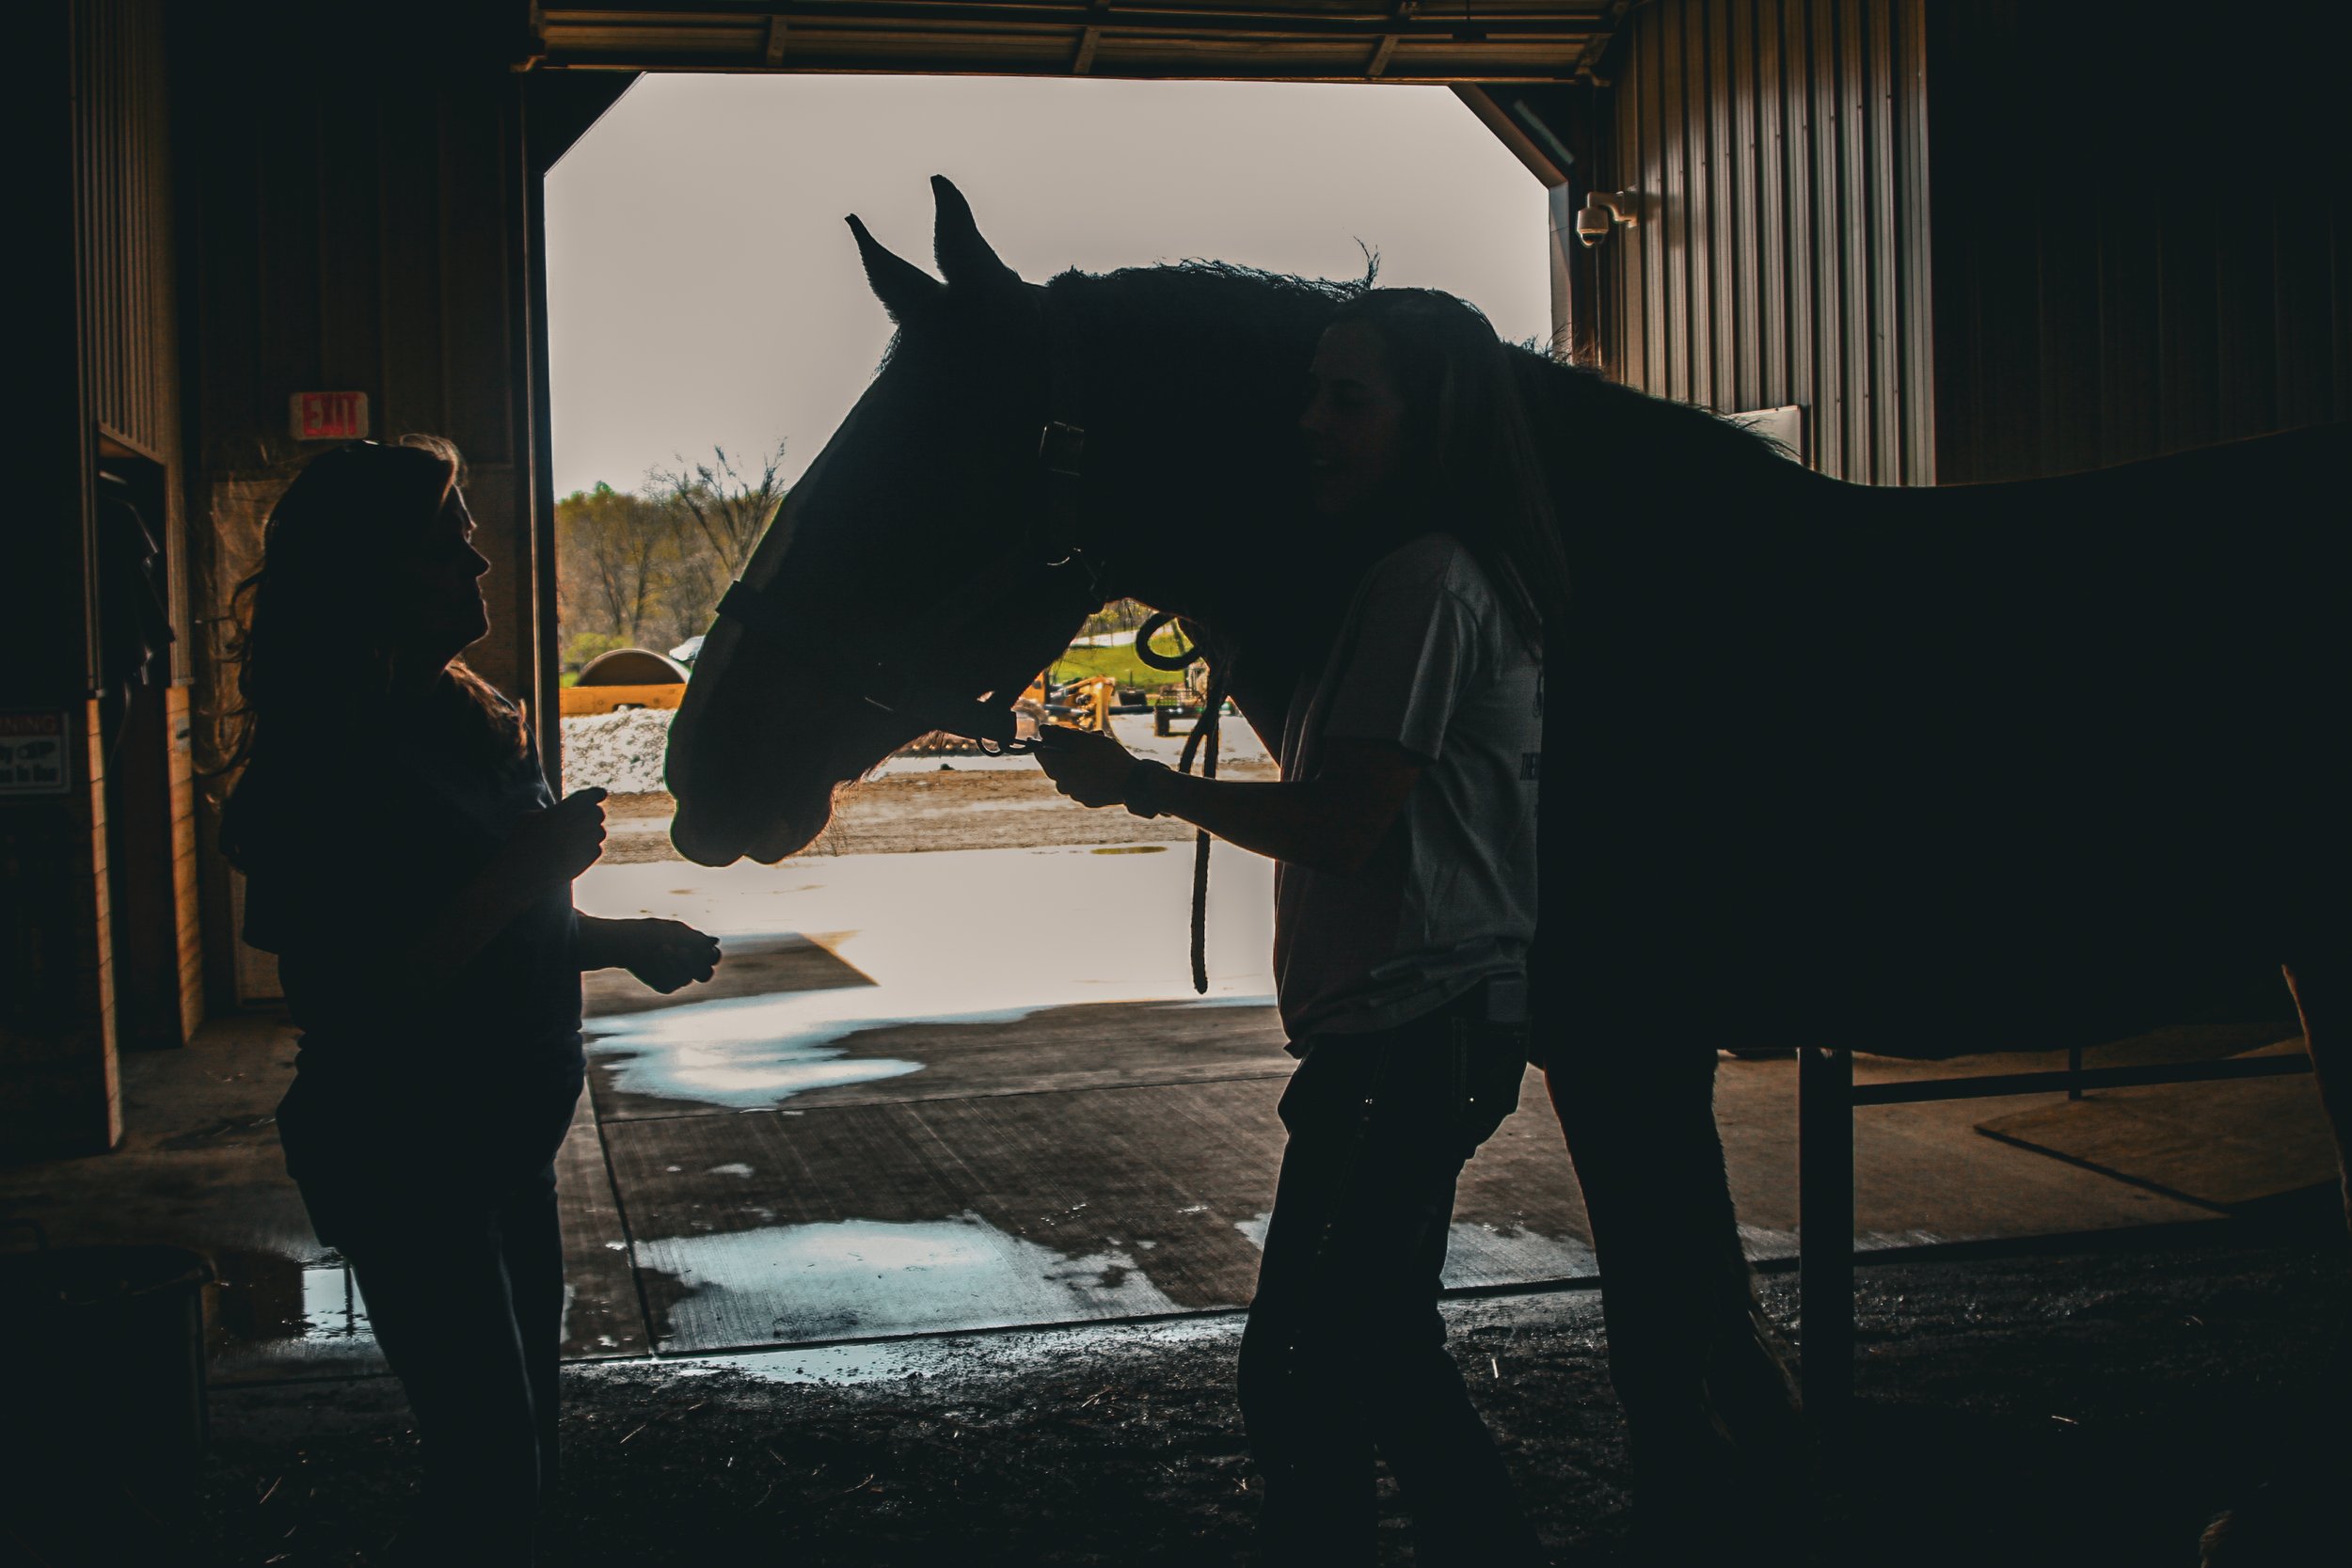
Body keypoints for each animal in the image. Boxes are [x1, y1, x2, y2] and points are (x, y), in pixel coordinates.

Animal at [662, 176, 2349, 1529]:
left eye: (917, 467)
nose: (697, 772)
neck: (1593, 608)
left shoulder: (1626, 1045)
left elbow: (1673, 1360)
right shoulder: (1630, 1058)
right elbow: (1701, 1344)